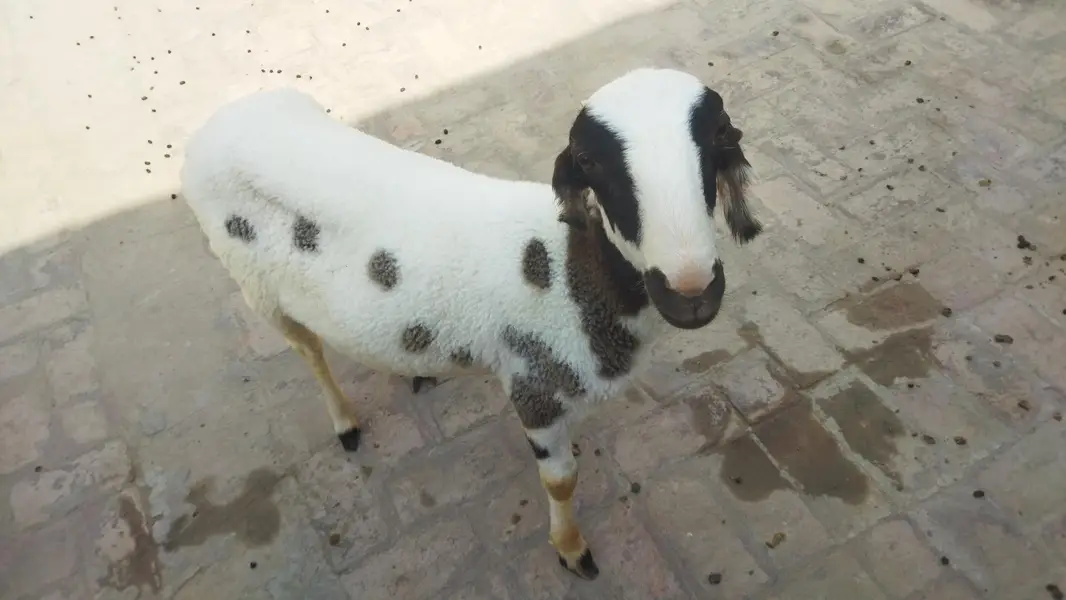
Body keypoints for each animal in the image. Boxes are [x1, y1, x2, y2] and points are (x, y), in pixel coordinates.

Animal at [179, 67, 763, 580]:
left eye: (719, 136)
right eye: (587, 160)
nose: (691, 292)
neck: (569, 274)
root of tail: (225, 118)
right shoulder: (535, 388)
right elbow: (562, 481)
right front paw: (571, 548)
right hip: (254, 282)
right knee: (307, 350)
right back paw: (344, 421)